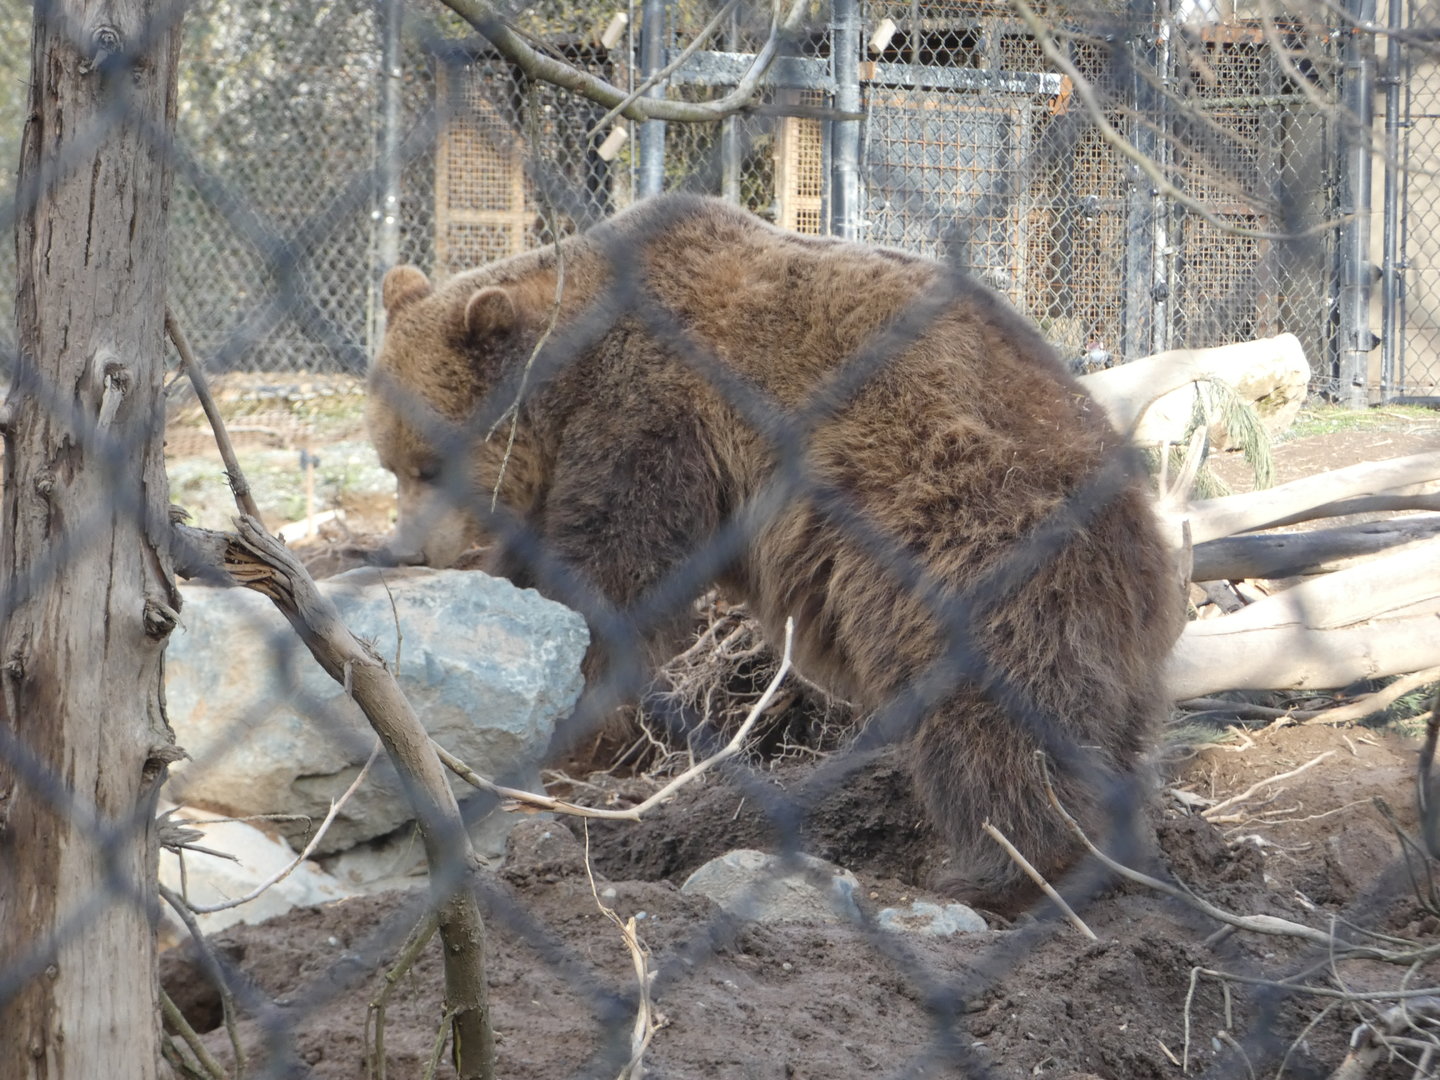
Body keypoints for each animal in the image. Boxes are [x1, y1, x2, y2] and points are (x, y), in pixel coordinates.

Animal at [366, 193, 1184, 910]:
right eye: (389, 461)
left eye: (430, 465)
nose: (406, 549)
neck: (567, 372)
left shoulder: (652, 413)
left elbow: (613, 575)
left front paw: (580, 720)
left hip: (976, 543)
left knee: (998, 718)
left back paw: (1016, 871)